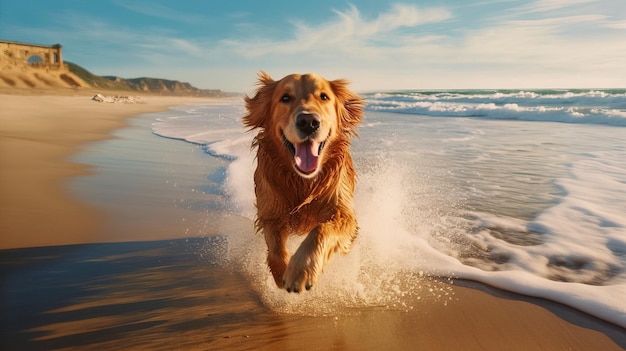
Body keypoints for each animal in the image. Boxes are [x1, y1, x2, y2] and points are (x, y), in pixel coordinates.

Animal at [241, 72, 364, 294]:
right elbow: (275, 249)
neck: (302, 183)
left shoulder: (344, 214)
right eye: (285, 98)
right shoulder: (270, 213)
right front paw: (282, 274)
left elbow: (321, 230)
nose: (308, 121)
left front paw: (300, 270)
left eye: (324, 97)